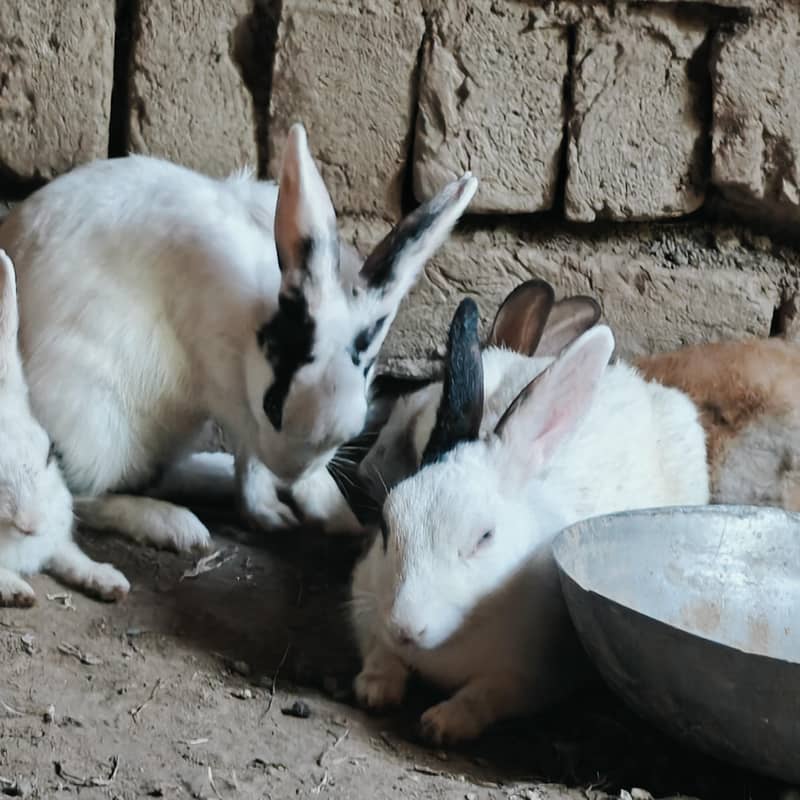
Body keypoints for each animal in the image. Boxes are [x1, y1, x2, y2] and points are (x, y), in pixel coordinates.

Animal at [0, 123, 478, 552]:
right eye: (273, 406)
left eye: (355, 425)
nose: (290, 472)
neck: (249, 322)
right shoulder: (228, 393)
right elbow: (250, 452)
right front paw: (283, 509)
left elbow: (253, 458)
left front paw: (331, 517)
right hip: (92, 421)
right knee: (78, 496)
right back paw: (174, 525)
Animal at [0, 250, 129, 606]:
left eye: (49, 452)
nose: (30, 525)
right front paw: (17, 590)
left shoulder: (56, 539)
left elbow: (70, 557)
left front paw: (110, 581)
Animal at [349, 297, 709, 745]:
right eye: (387, 525)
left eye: (485, 537)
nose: (406, 627)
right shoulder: (365, 601)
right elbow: (378, 650)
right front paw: (376, 689)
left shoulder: (534, 676)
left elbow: (486, 695)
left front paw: (441, 723)